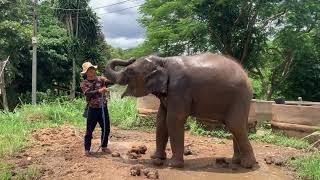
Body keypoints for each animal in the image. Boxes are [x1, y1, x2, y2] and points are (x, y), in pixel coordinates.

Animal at [105, 52, 258, 168]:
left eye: (129, 71)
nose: (131, 58)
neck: (163, 60)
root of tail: (246, 76)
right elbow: (161, 119)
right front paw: (156, 157)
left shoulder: (178, 89)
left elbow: (174, 119)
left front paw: (173, 165)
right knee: (237, 126)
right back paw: (236, 161)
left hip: (240, 97)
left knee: (235, 125)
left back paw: (247, 165)